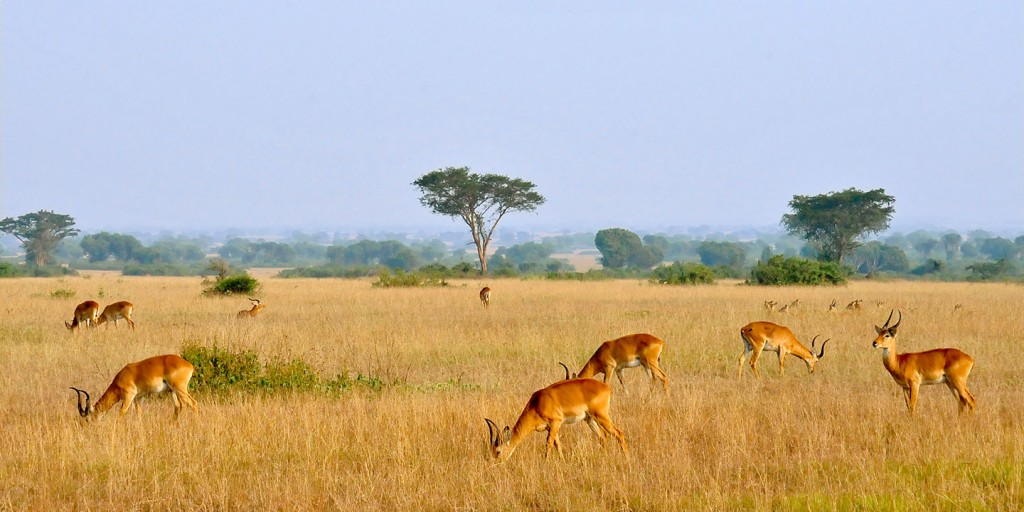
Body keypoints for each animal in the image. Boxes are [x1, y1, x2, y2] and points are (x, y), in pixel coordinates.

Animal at [483, 378, 626, 462]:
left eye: (498, 451)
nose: (495, 463)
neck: (537, 403)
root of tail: (606, 387)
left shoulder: (556, 422)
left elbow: (549, 443)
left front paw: (545, 462)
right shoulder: (550, 427)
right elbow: (558, 444)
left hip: (601, 416)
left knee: (619, 433)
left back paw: (627, 459)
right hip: (589, 418)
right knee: (603, 436)